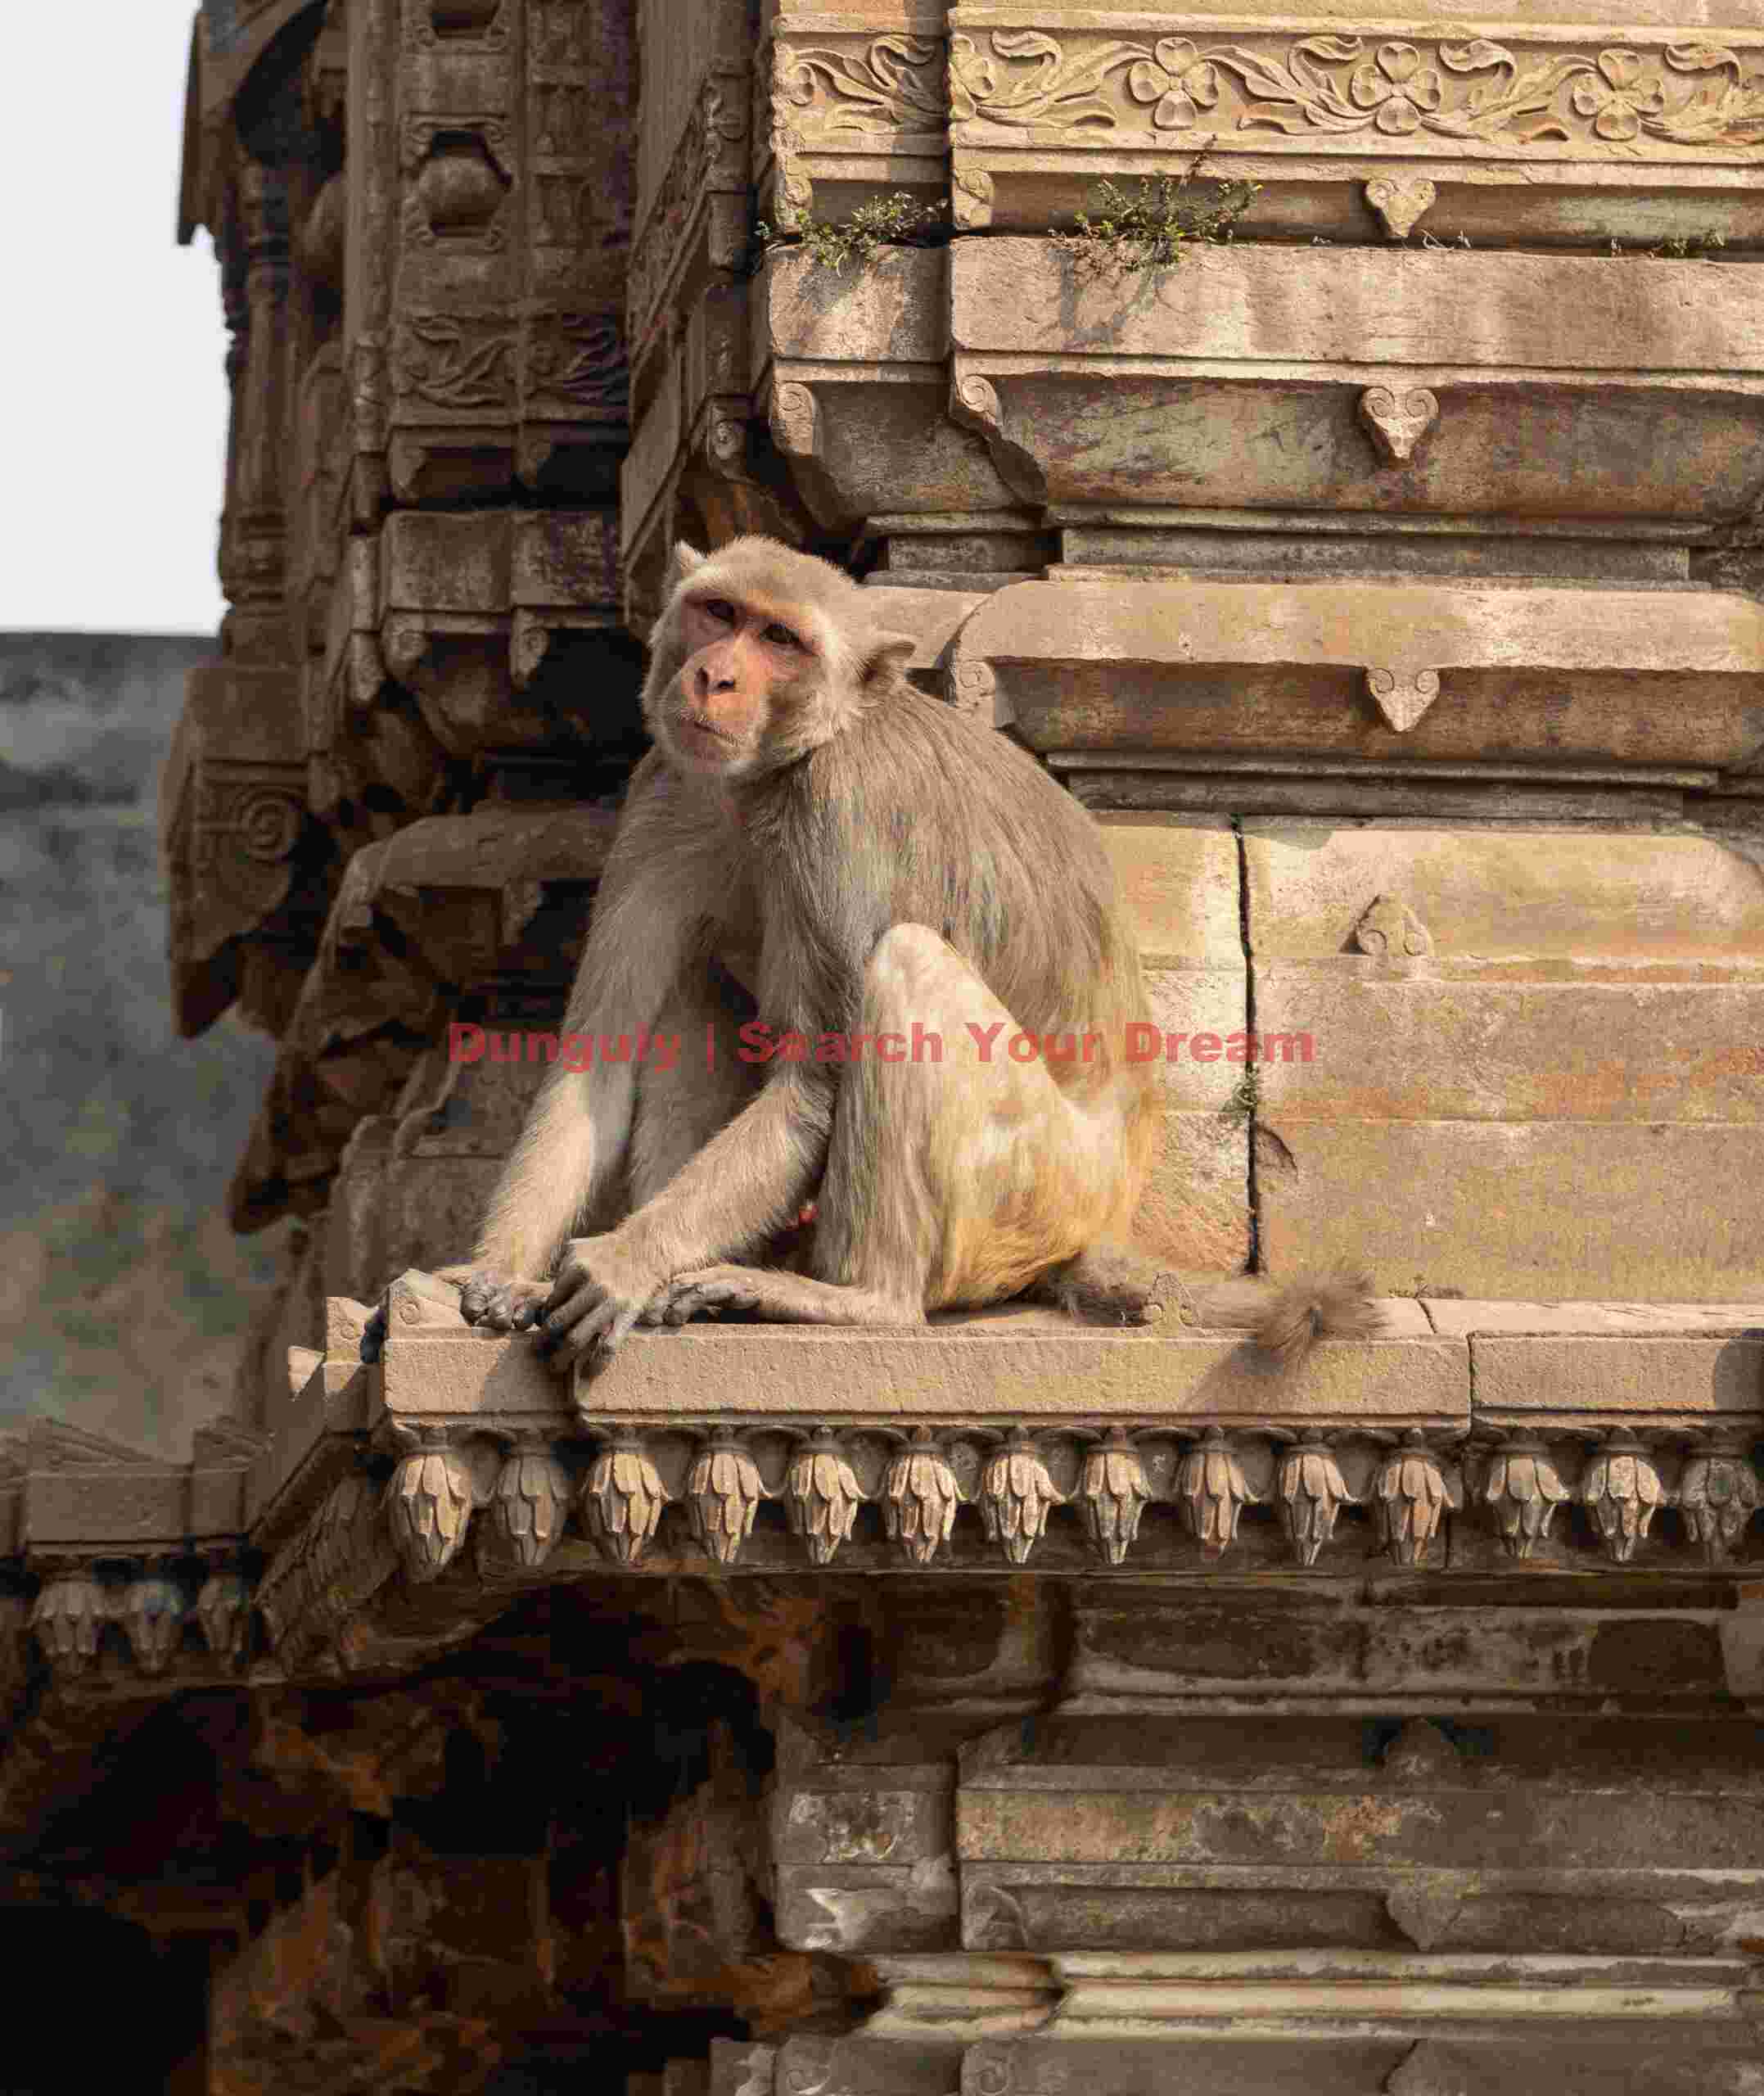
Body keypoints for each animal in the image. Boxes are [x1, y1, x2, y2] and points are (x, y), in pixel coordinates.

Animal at [438, 536, 1378, 1371]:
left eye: (781, 641)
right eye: (720, 614)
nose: (714, 676)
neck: (773, 773)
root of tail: (1107, 1212)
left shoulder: (841, 809)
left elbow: (813, 1082)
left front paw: (625, 1262)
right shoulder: (665, 791)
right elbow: (597, 1055)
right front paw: (499, 1275)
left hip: (1032, 1191)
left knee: (908, 967)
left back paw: (856, 1300)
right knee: (695, 987)